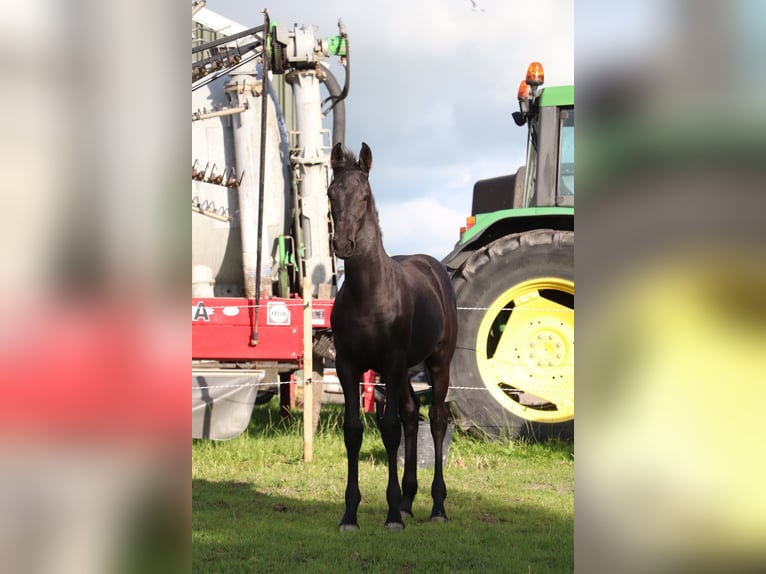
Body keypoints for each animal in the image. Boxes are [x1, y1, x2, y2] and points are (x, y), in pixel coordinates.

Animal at [328, 143, 456, 532]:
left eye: (365, 196)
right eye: (330, 193)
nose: (343, 244)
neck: (368, 295)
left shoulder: (392, 361)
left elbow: (387, 428)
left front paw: (391, 517)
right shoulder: (349, 366)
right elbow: (354, 430)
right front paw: (351, 515)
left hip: (436, 361)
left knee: (437, 419)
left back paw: (437, 507)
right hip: (403, 371)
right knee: (412, 415)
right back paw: (408, 500)